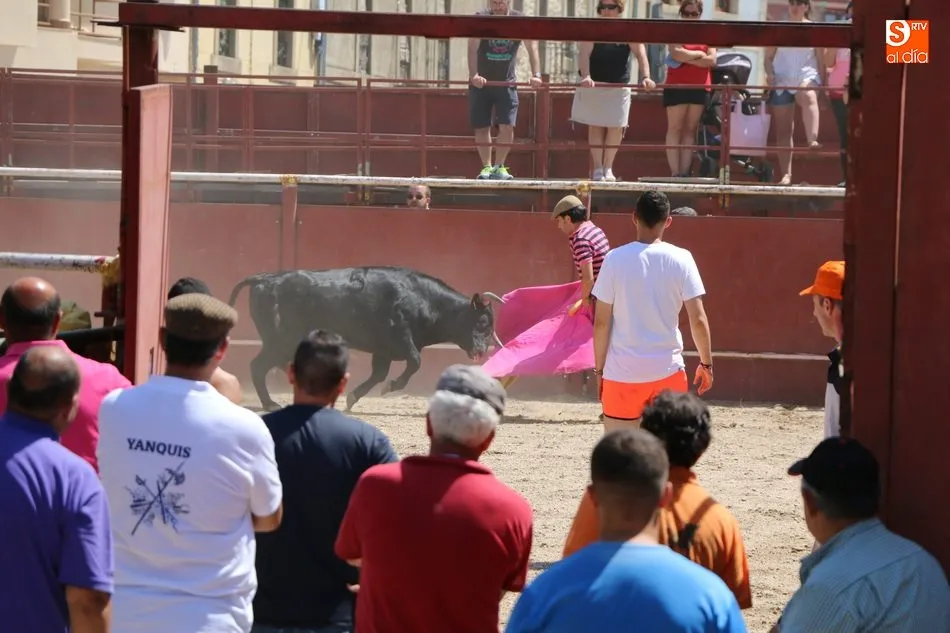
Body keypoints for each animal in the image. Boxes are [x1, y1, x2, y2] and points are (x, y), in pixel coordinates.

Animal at [227, 266, 506, 412]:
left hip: (280, 342)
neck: (425, 301)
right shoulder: (402, 338)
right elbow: (414, 362)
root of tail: (266, 278)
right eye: (483, 322)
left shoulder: (383, 351)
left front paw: (352, 398)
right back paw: (270, 403)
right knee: (259, 366)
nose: (482, 350)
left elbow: (378, 374)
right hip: (280, 340)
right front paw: (391, 386)